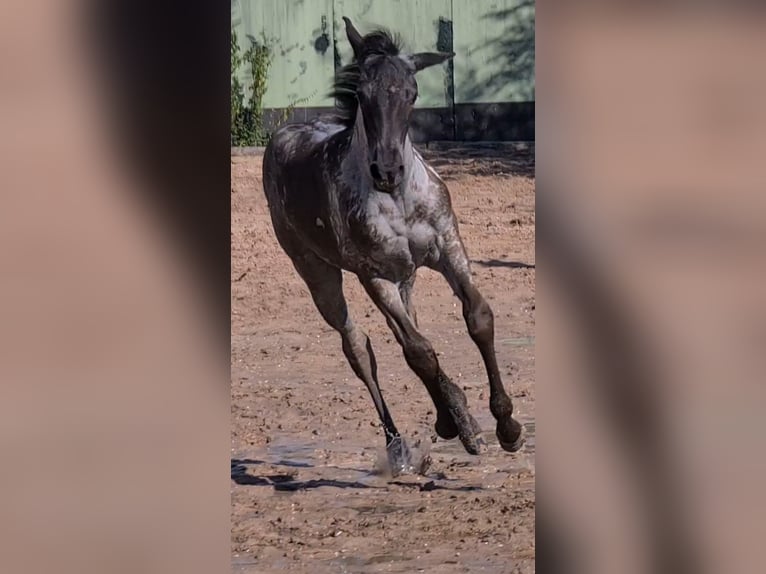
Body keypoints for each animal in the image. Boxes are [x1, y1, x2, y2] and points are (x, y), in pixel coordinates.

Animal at [262, 19, 520, 476]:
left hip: (407, 275)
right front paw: (470, 426)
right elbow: (419, 351)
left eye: (411, 93)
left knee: (405, 331)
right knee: (359, 348)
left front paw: (505, 425)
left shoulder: (449, 247)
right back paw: (401, 445)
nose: (386, 170)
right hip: (317, 271)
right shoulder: (373, 274)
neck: (399, 200)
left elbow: (477, 318)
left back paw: (454, 415)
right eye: (363, 95)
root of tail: (284, 135)